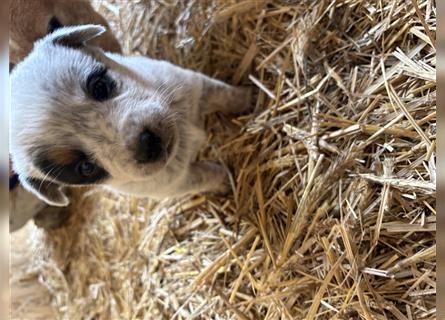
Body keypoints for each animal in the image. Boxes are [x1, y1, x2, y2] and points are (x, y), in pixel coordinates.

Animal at [10, 25, 251, 220]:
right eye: (86, 168)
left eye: (100, 88)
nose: (147, 145)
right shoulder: (174, 182)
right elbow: (205, 175)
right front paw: (224, 182)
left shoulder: (193, 85)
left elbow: (224, 94)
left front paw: (251, 98)